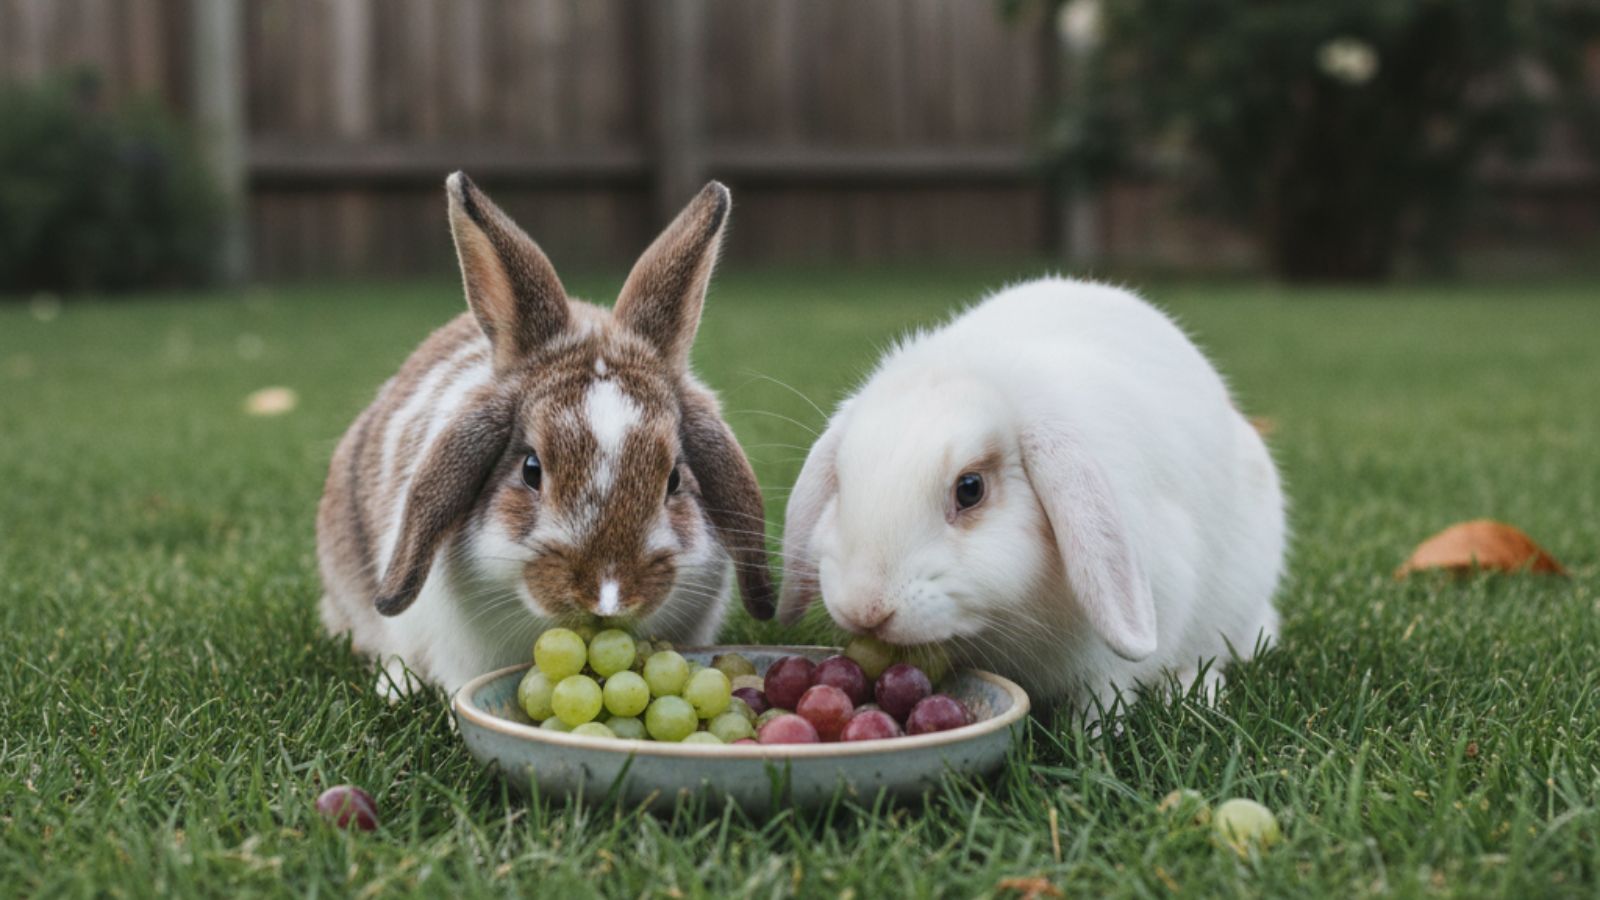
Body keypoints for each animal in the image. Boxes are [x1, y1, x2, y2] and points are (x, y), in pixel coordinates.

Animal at [777, 277, 1284, 713]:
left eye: (970, 489)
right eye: (841, 484)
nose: (865, 609)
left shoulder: (1122, 645)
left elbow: (1105, 699)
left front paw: (1093, 741)